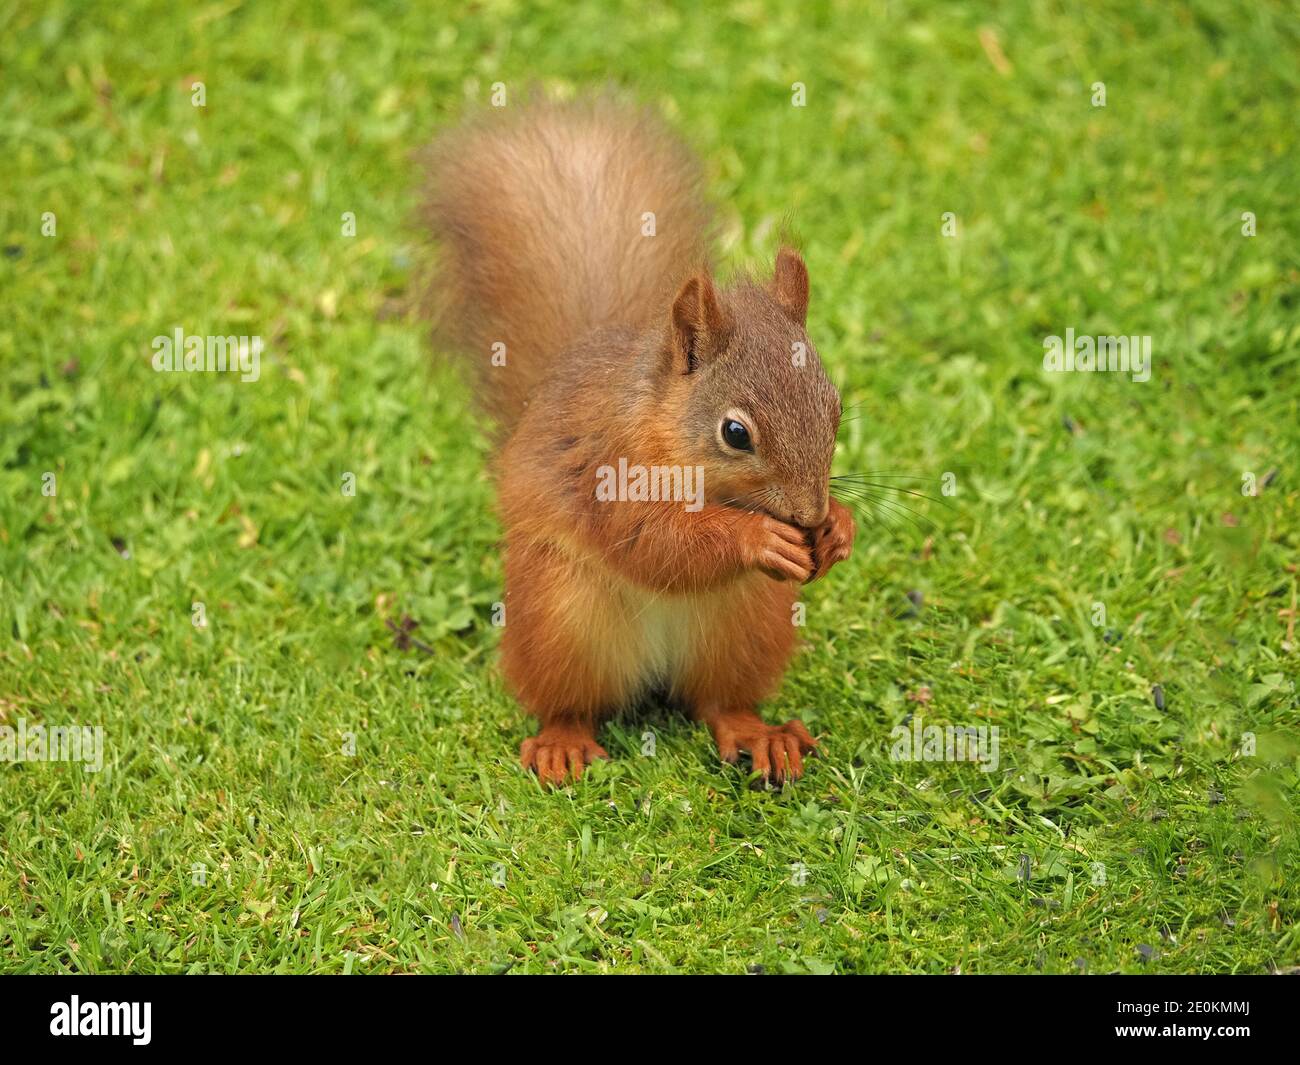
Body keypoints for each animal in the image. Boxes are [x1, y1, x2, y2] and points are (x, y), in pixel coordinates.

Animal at [419, 95, 856, 787]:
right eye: (735, 433)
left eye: (835, 407)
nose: (810, 515)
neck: (665, 428)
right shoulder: (607, 466)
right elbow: (651, 541)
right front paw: (756, 538)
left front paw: (840, 528)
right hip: (559, 617)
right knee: (569, 701)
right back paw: (563, 743)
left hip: (748, 624)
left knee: (719, 701)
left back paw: (757, 734)